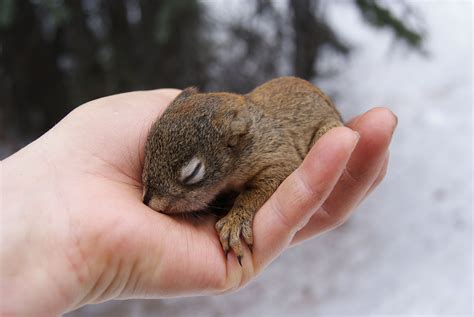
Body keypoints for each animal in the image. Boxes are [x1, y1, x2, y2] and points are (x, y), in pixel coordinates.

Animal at [143, 75, 342, 262]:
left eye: (193, 172)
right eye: (147, 147)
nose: (149, 202)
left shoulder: (278, 154)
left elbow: (257, 189)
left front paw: (235, 221)